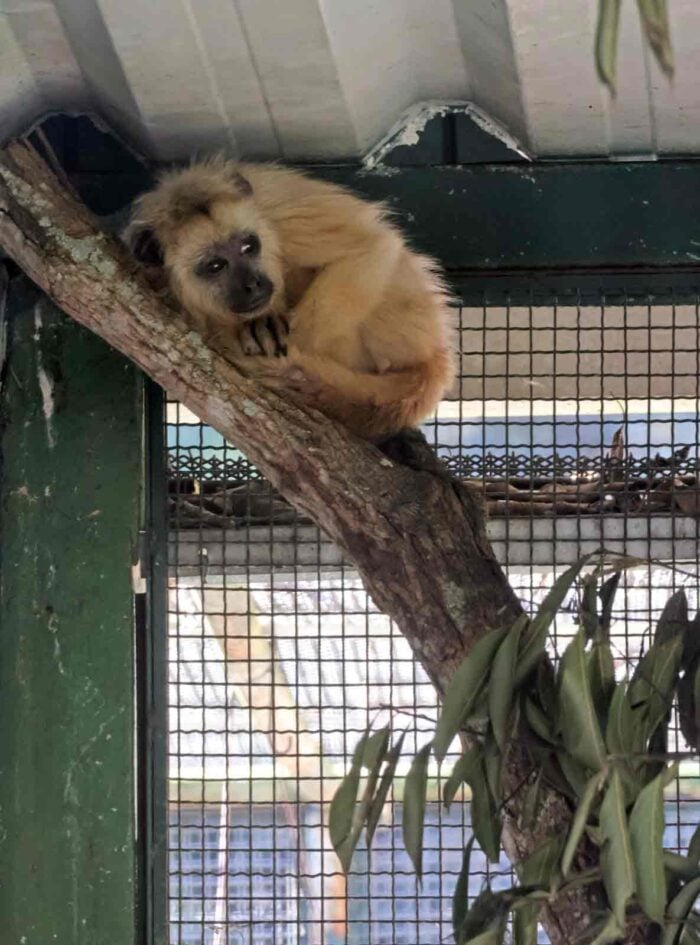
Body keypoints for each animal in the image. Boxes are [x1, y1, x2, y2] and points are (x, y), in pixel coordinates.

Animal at [126, 157, 455, 440]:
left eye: (249, 246)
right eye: (215, 266)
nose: (253, 284)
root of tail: (435, 358)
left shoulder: (281, 205)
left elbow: (369, 246)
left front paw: (291, 358)